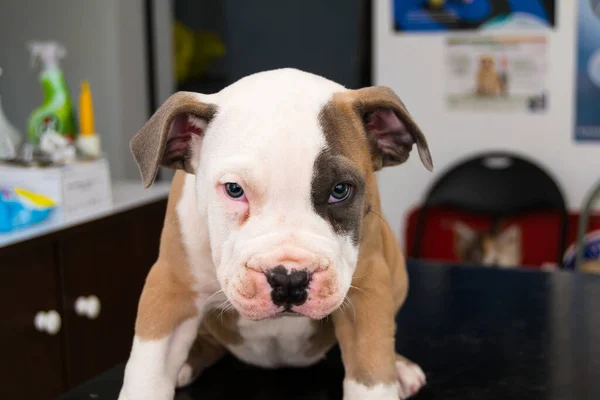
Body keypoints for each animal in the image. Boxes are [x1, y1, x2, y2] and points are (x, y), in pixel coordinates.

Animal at [119, 69, 434, 400]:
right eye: (234, 189)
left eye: (340, 190)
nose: (289, 279)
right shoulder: (171, 289)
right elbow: (147, 376)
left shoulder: (369, 288)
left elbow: (372, 371)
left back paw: (400, 367)